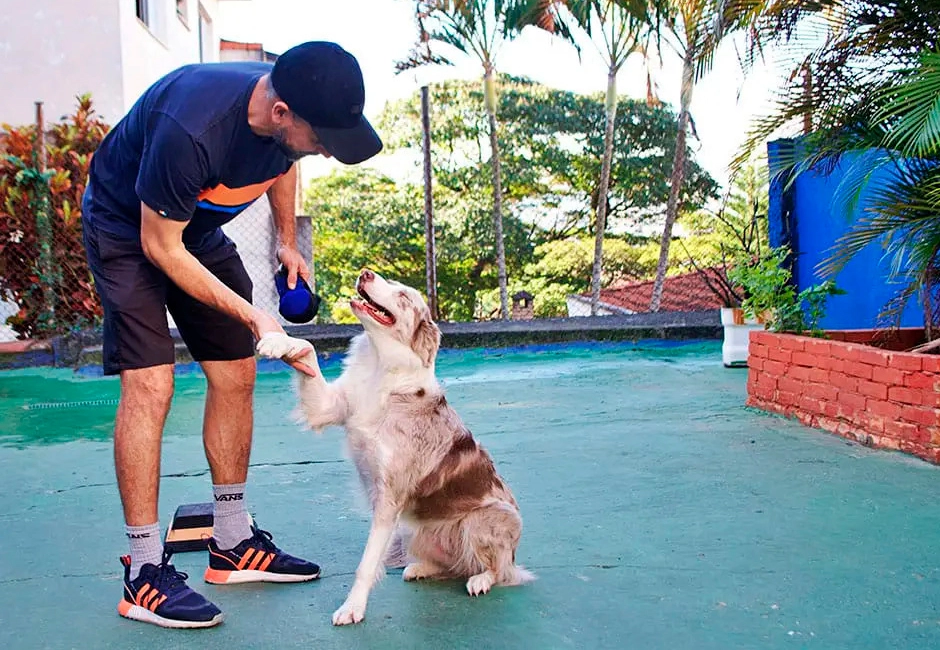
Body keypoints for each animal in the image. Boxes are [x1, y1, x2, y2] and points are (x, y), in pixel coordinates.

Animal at [282, 268, 532, 624]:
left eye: (402, 297)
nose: (365, 272)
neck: (381, 368)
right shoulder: (327, 407)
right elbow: (307, 351)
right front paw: (279, 342)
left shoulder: (390, 499)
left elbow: (366, 563)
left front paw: (352, 608)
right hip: (413, 527)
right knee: (454, 565)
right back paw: (421, 568)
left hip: (486, 519)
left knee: (500, 571)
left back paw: (481, 579)